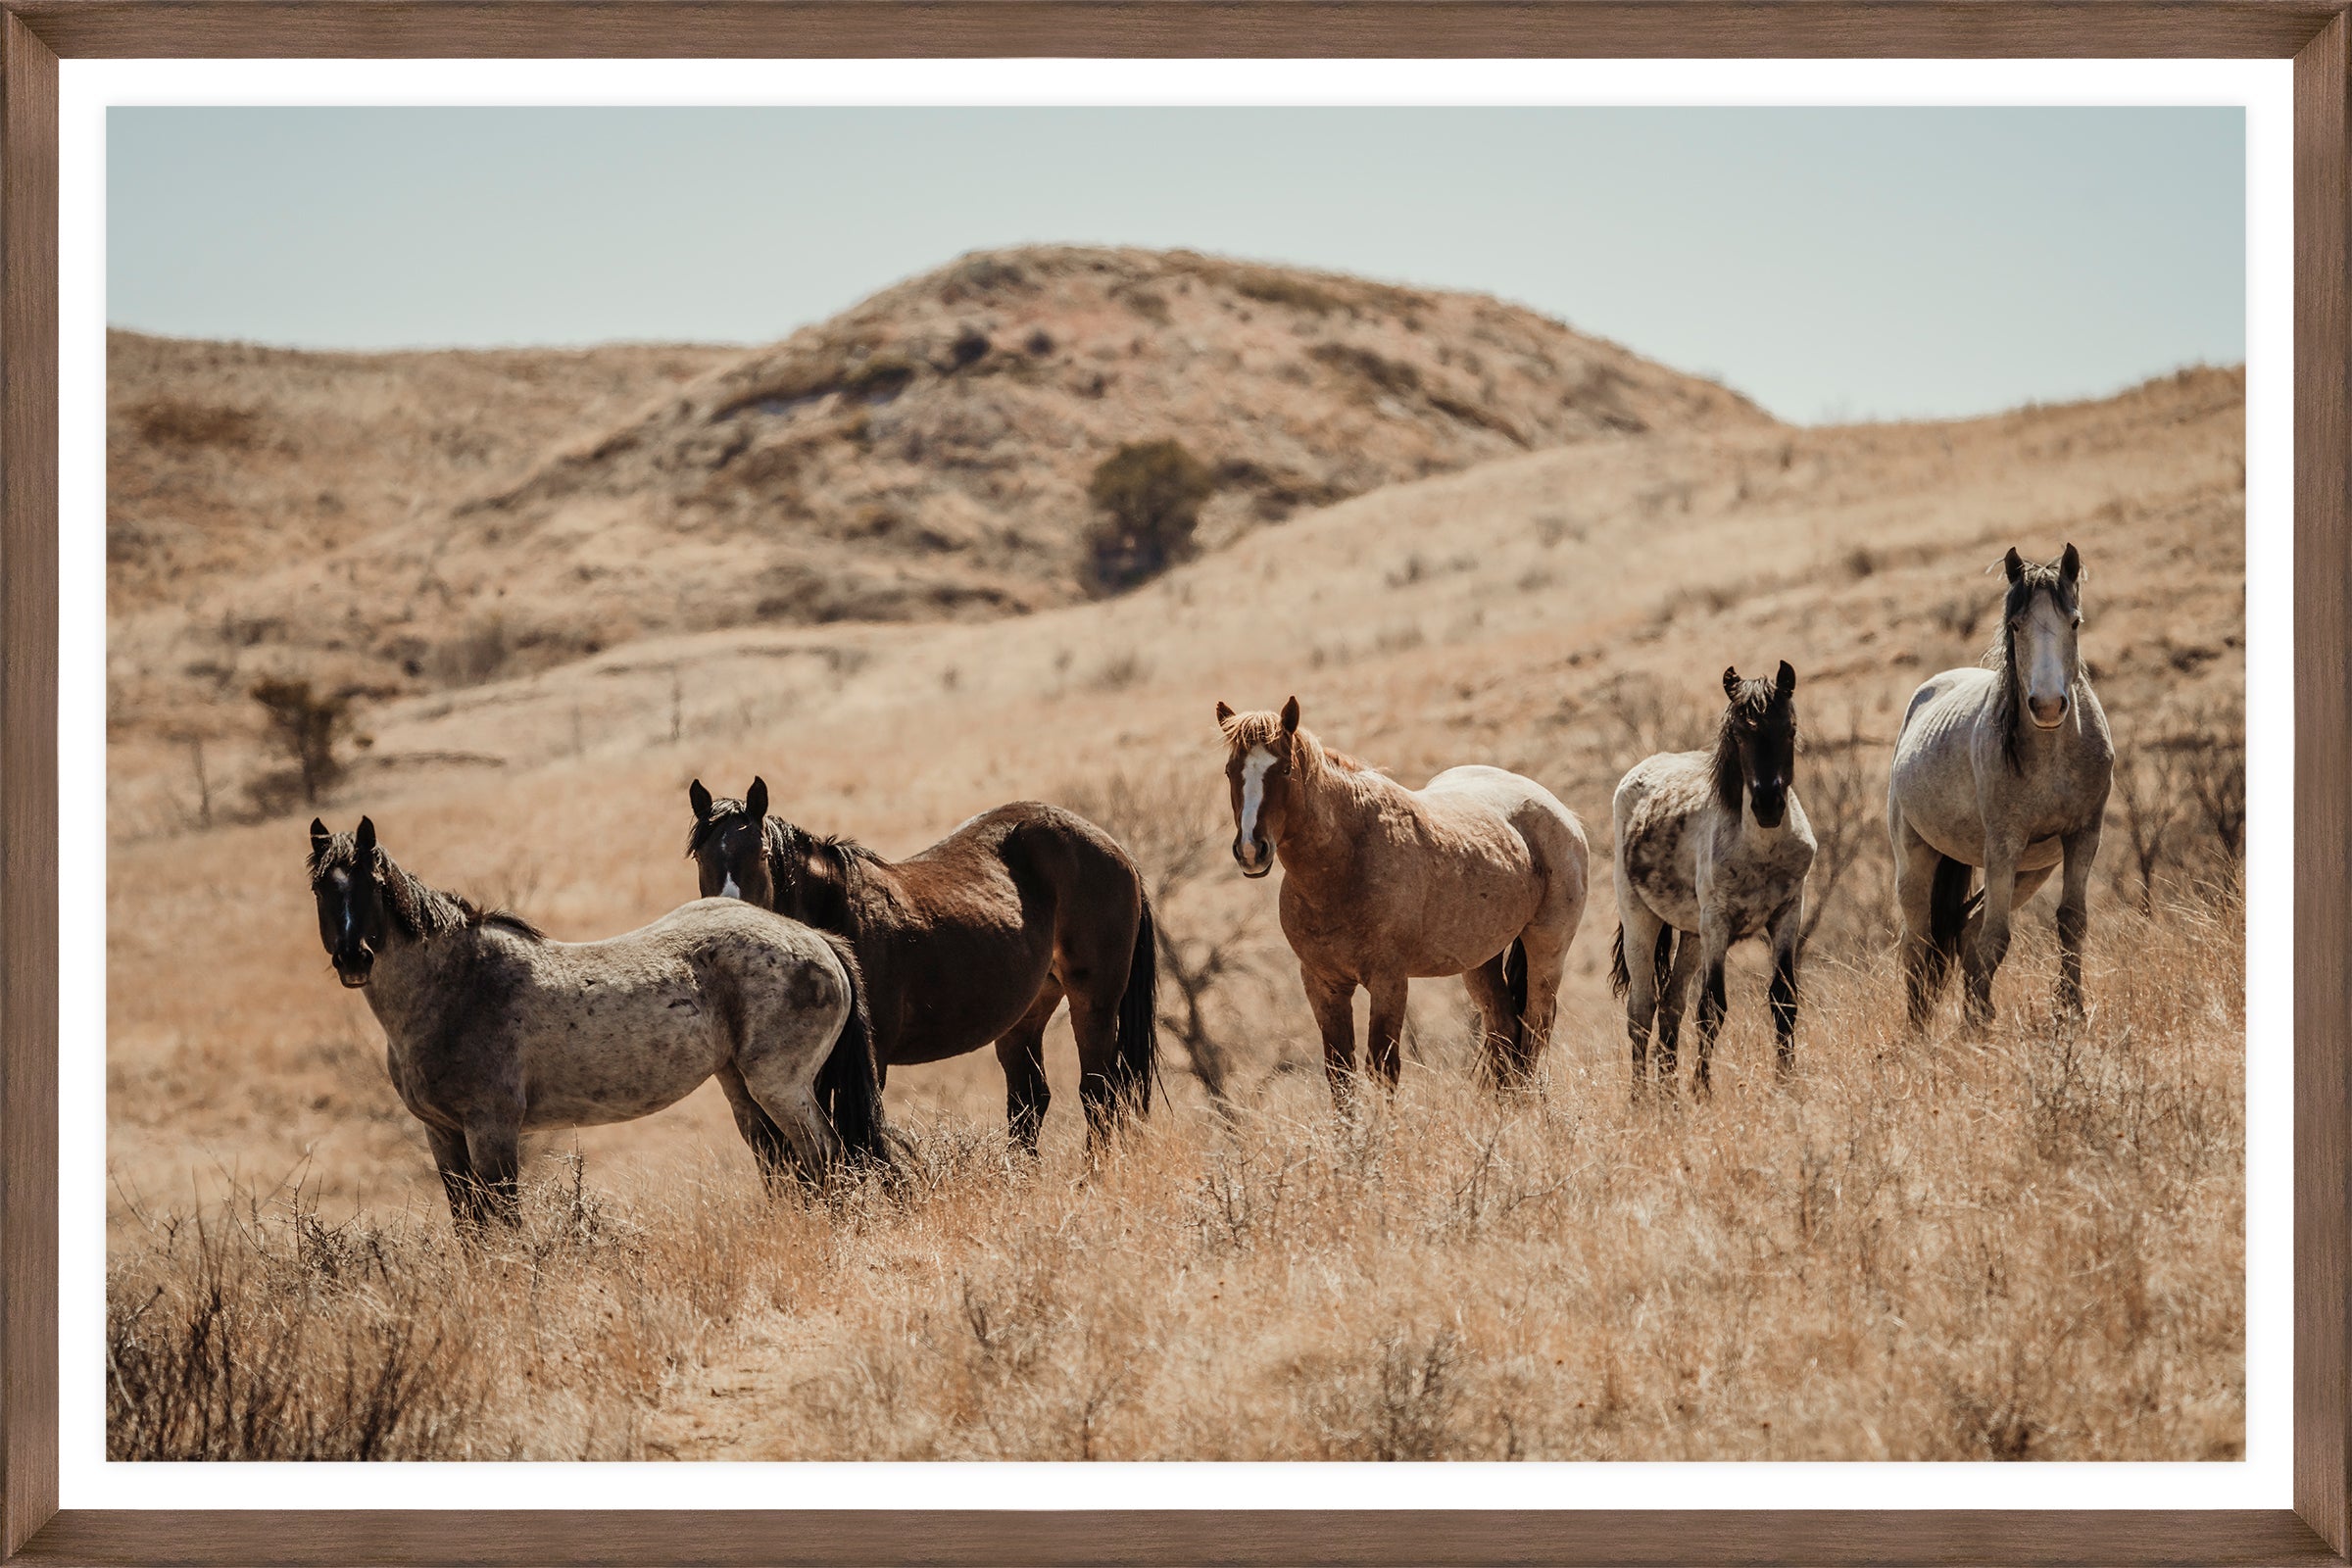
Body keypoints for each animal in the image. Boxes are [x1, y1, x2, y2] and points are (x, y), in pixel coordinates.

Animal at [307, 815, 891, 1229]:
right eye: (320, 890)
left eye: (372, 883)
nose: (354, 958)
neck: (457, 987)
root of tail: (816, 940)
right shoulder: (442, 1135)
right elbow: (469, 1227)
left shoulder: (491, 1130)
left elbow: (501, 1224)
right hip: (743, 1088)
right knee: (792, 1166)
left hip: (780, 1086)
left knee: (826, 1158)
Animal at [686, 780, 1157, 1154]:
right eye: (700, 857)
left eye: (761, 852)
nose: (726, 915)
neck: (838, 915)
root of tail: (1114, 847)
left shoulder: (867, 1059)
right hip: (1027, 1012)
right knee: (1029, 1100)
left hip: (1094, 1003)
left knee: (1099, 1092)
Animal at [1214, 696, 1589, 1104]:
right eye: (1230, 770)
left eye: (1284, 769)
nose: (1251, 850)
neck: (1346, 862)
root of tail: (1561, 813)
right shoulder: (1323, 984)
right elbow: (1340, 1076)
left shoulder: (1388, 980)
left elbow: (1383, 1068)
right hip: (1480, 962)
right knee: (1505, 1030)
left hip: (1546, 953)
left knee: (1535, 1030)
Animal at [1610, 661, 1817, 1097]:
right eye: (1739, 734)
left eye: (1789, 729)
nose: (1768, 805)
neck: (1760, 851)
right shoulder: (1717, 924)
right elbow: (1711, 1009)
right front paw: (1702, 1090)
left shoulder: (1788, 914)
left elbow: (1784, 1001)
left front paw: (1786, 1082)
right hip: (1642, 921)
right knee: (1641, 1011)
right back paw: (1639, 1099)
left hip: (1690, 935)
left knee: (1670, 1006)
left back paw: (1668, 1097)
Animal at [1888, 544, 2114, 1027]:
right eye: (2015, 625)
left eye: (2074, 622)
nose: (2047, 705)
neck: (2052, 754)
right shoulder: (2003, 845)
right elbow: (1997, 938)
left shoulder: (2083, 836)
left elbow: (2071, 921)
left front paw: (2071, 1010)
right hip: (1917, 859)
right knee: (1919, 945)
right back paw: (1919, 1032)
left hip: (2031, 870)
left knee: (1967, 932)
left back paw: (1979, 1014)